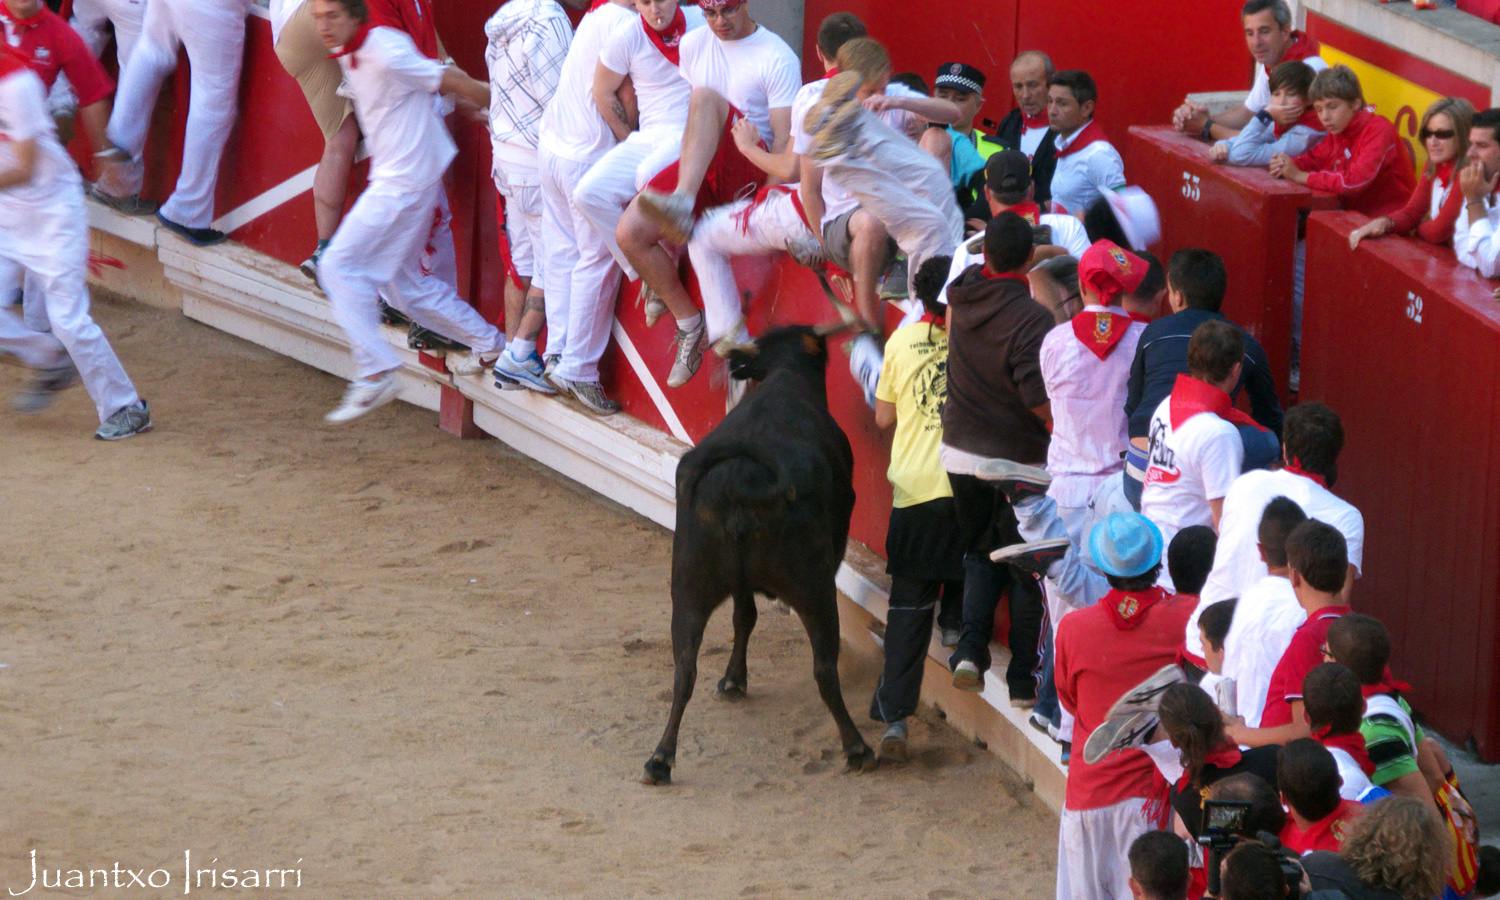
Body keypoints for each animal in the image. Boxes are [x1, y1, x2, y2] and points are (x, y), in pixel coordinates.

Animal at [642, 324, 877, 785]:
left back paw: (661, 758)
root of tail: (741, 477)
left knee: (684, 668)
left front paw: (734, 680)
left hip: (688, 587)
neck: (786, 372)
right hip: (814, 588)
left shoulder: (737, 584)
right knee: (824, 668)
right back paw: (857, 747)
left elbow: (743, 616)